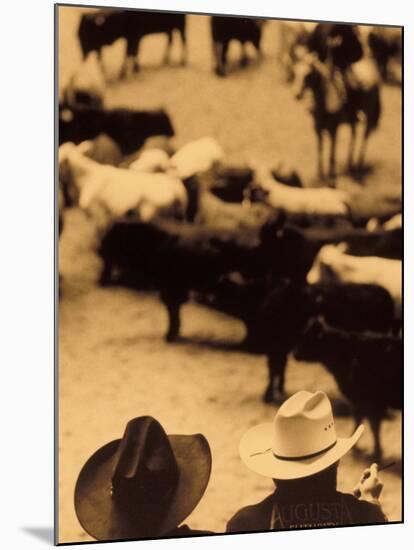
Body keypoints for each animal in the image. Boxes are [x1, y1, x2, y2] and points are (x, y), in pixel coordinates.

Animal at [294, 320, 402, 462]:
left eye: (309, 337)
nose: (295, 354)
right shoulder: (360, 401)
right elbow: (360, 420)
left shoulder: (371, 401)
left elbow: (372, 425)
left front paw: (375, 453)